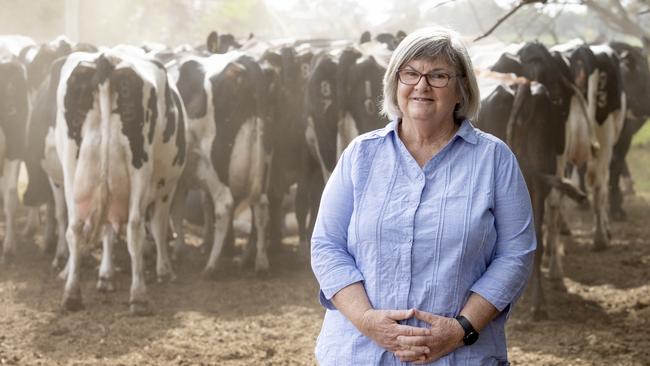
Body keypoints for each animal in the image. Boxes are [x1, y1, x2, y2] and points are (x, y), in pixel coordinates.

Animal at [47, 48, 185, 314]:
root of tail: (107, 59)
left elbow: (107, 232)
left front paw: (106, 276)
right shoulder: (167, 186)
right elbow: (159, 225)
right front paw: (164, 270)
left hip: (72, 170)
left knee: (75, 228)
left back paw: (72, 295)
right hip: (140, 167)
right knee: (135, 228)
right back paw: (139, 296)